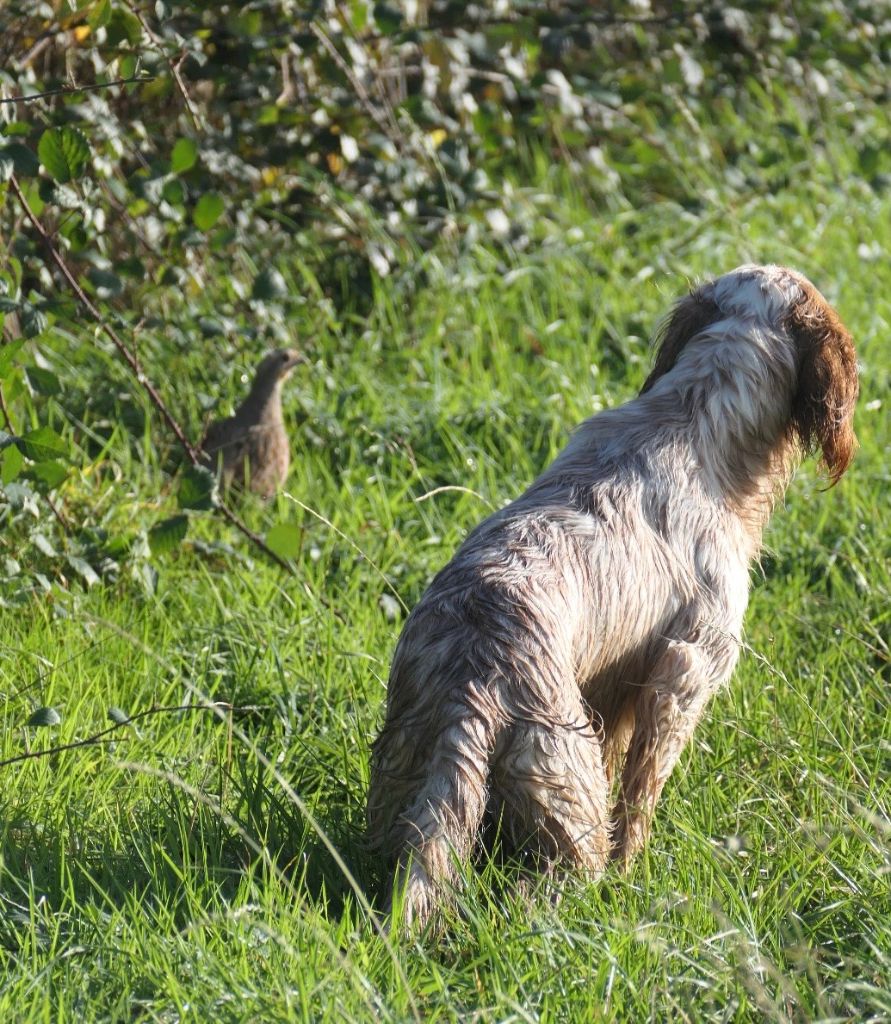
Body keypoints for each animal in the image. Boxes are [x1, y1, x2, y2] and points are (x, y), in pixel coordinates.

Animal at [366, 264, 860, 929]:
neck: (696, 412)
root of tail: (473, 681)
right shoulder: (685, 672)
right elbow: (640, 797)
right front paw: (635, 869)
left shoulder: (612, 685)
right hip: (565, 793)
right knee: (558, 876)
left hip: (403, 774)